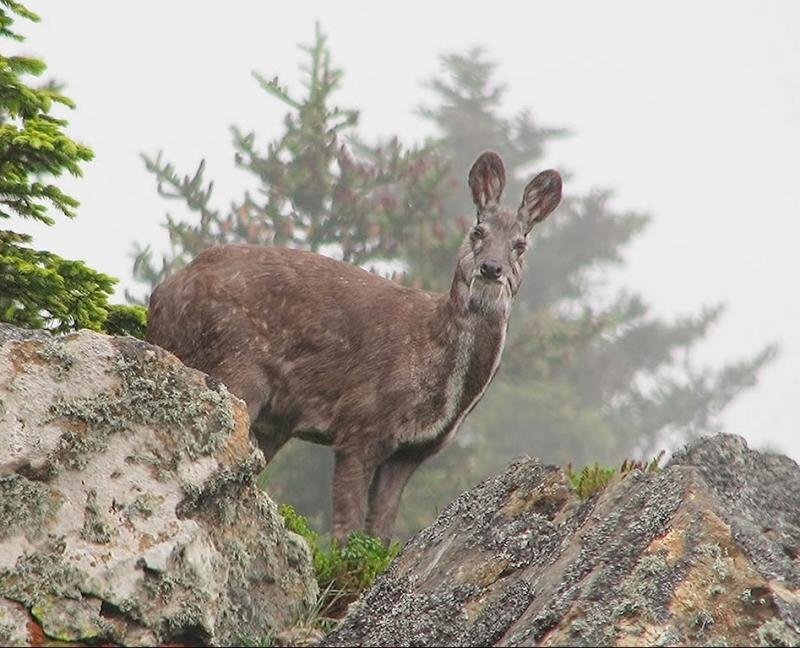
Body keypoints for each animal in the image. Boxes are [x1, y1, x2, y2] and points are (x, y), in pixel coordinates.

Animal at [148, 152, 564, 540]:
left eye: (520, 244)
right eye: (478, 231)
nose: (491, 268)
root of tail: (160, 296)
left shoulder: (412, 452)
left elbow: (380, 530)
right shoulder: (360, 423)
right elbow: (347, 530)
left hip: (273, 419)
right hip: (233, 364)